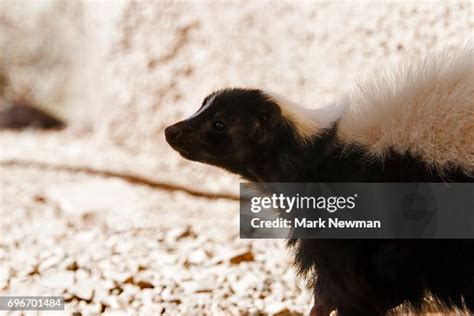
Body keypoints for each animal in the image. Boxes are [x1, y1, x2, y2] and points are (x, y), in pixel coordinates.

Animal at [165, 47, 472, 316]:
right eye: (200, 108)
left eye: (219, 124)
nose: (171, 131)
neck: (308, 154)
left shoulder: (353, 222)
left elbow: (353, 288)